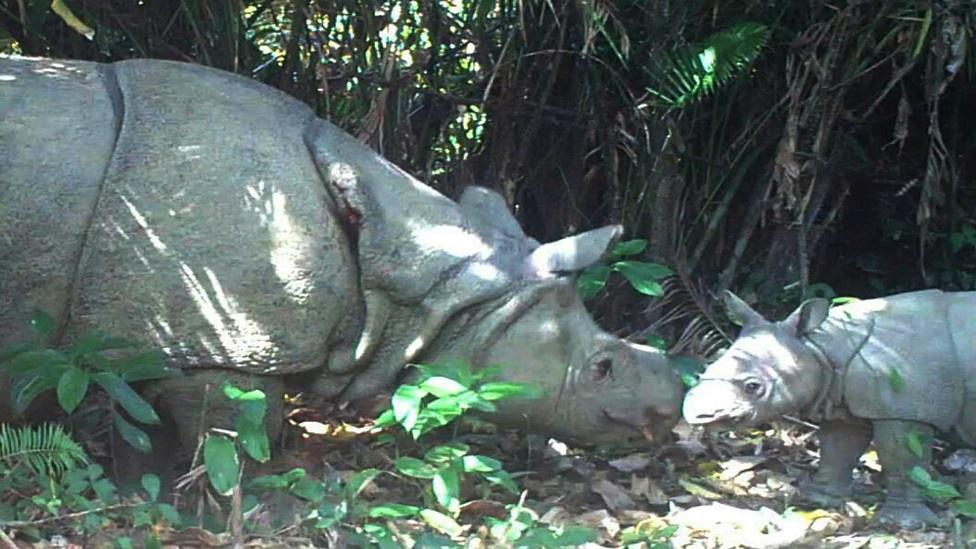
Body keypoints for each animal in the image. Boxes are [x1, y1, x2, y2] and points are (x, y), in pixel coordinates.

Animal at [684, 292, 976, 528]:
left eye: (753, 387)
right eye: (706, 368)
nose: (697, 414)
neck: (820, 346)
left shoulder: (904, 410)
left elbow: (902, 460)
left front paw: (901, 524)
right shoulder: (845, 403)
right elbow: (838, 448)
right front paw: (818, 501)